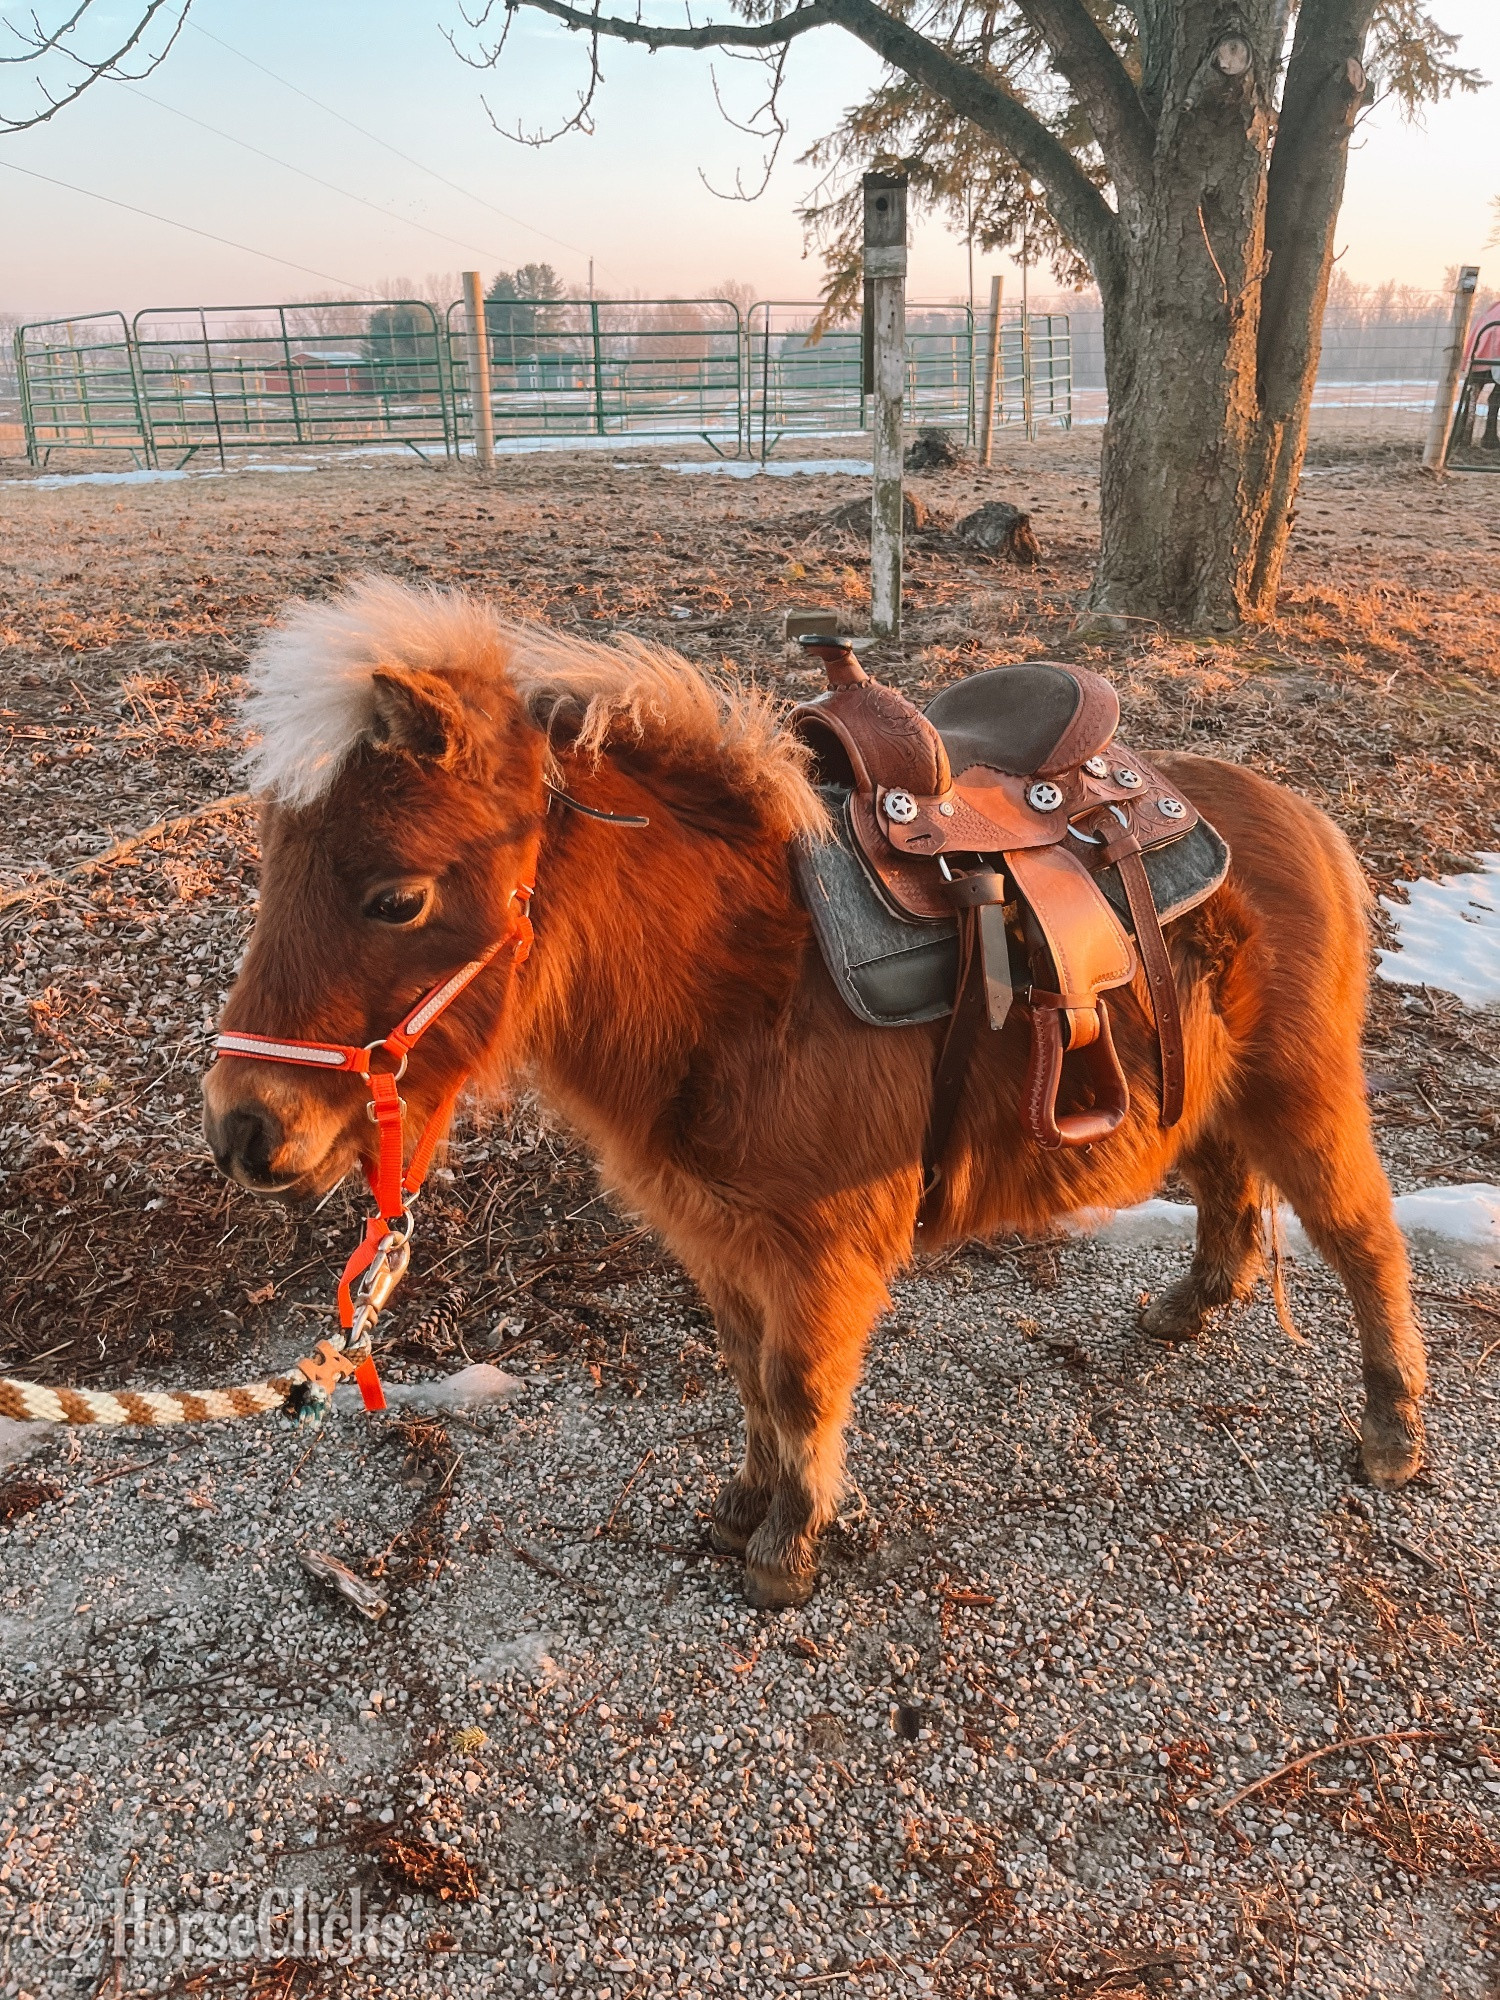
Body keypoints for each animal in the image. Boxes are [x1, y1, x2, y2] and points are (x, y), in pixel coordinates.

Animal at [202, 576, 1428, 1609]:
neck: (745, 981)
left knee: (1363, 1237)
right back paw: (1192, 1306)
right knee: (1227, 1188)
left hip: (1306, 1094)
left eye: (397, 897)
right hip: (1207, 1090)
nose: (243, 1128)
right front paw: (742, 1508)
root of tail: (1303, 819)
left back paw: (1393, 1431)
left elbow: (797, 1386)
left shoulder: (820, 1249)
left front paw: (787, 1550)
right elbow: (749, 1379)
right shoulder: (717, 1238)